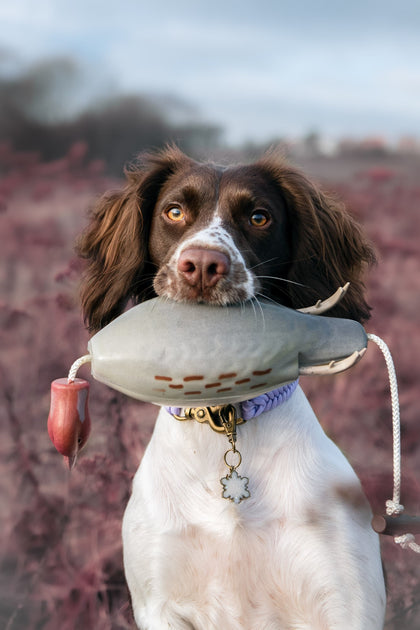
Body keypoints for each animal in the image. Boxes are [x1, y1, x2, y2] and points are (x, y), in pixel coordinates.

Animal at [77, 146, 386, 628]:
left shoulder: (345, 601)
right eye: (174, 211)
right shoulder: (158, 603)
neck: (225, 420)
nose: (203, 265)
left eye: (259, 217)